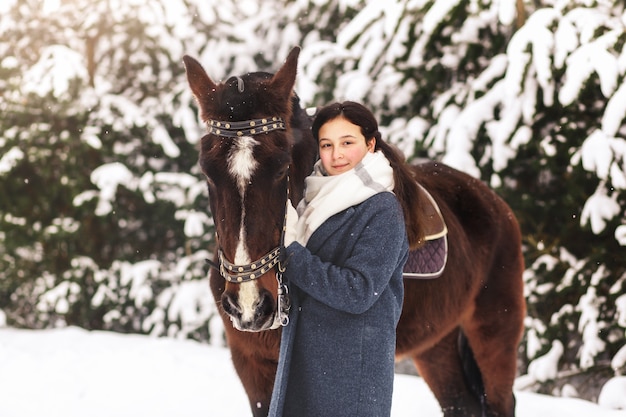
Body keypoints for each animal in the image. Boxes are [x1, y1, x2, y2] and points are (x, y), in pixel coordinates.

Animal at [183, 47, 524, 414]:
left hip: (494, 335)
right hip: (436, 345)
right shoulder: (252, 366)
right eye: (208, 171)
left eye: (282, 167)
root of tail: (494, 202)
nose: (250, 305)